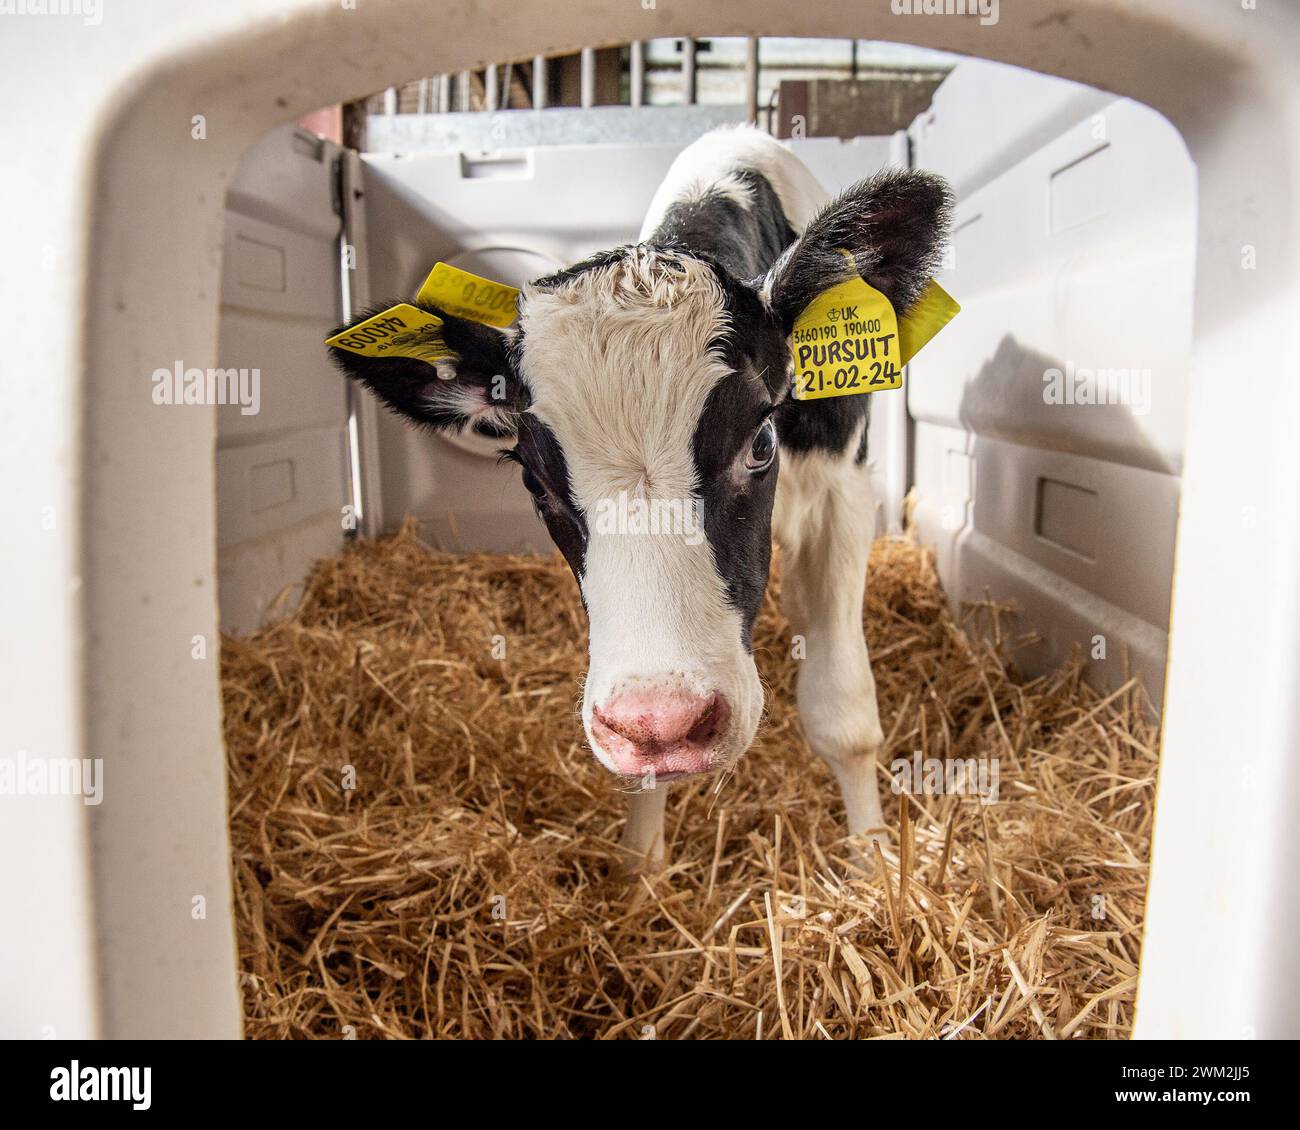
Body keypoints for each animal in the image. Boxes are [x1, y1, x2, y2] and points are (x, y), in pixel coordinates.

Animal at [330, 125, 951, 863]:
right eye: (534, 480)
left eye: (760, 443)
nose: (663, 724)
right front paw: (639, 870)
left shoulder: (841, 493)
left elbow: (844, 714)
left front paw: (874, 858)